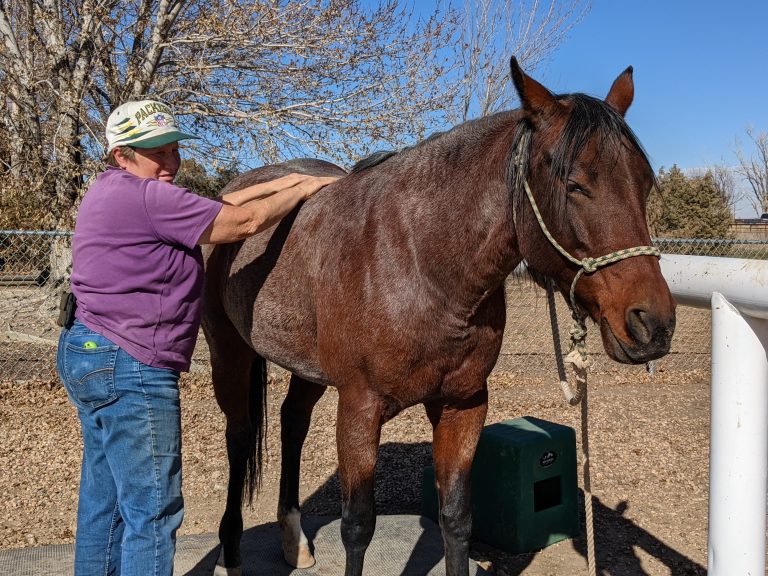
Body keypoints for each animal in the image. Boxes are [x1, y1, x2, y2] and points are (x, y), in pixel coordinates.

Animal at [201, 57, 676, 576]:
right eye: (574, 184)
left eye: (644, 183)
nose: (654, 325)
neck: (420, 264)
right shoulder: (359, 409)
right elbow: (357, 527)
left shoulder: (462, 405)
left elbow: (456, 519)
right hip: (229, 350)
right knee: (239, 435)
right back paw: (231, 552)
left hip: (308, 365)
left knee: (292, 423)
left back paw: (293, 539)